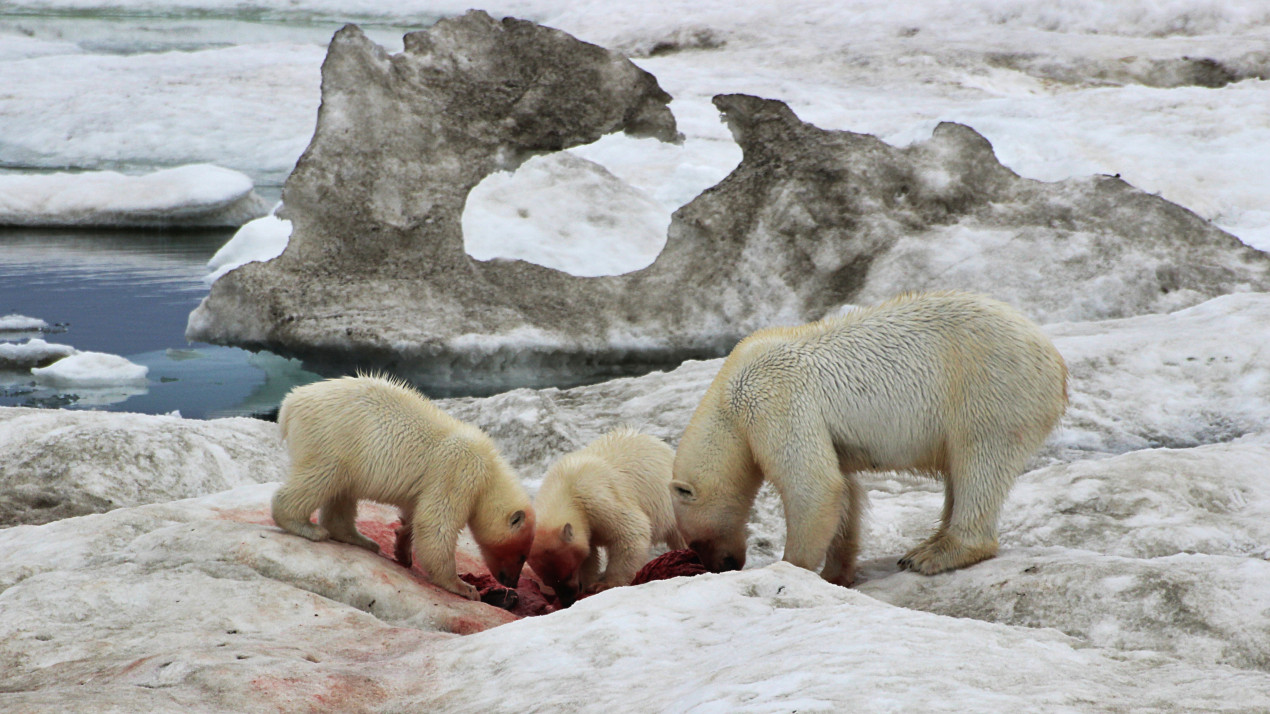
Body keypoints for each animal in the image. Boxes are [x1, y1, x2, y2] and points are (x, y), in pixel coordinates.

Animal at [670, 290, 1066, 584]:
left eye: (695, 539)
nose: (724, 565)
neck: (729, 397)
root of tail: (1055, 361)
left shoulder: (773, 401)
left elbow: (814, 486)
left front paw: (792, 566)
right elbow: (843, 491)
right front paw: (835, 573)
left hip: (990, 388)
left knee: (979, 460)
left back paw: (933, 554)